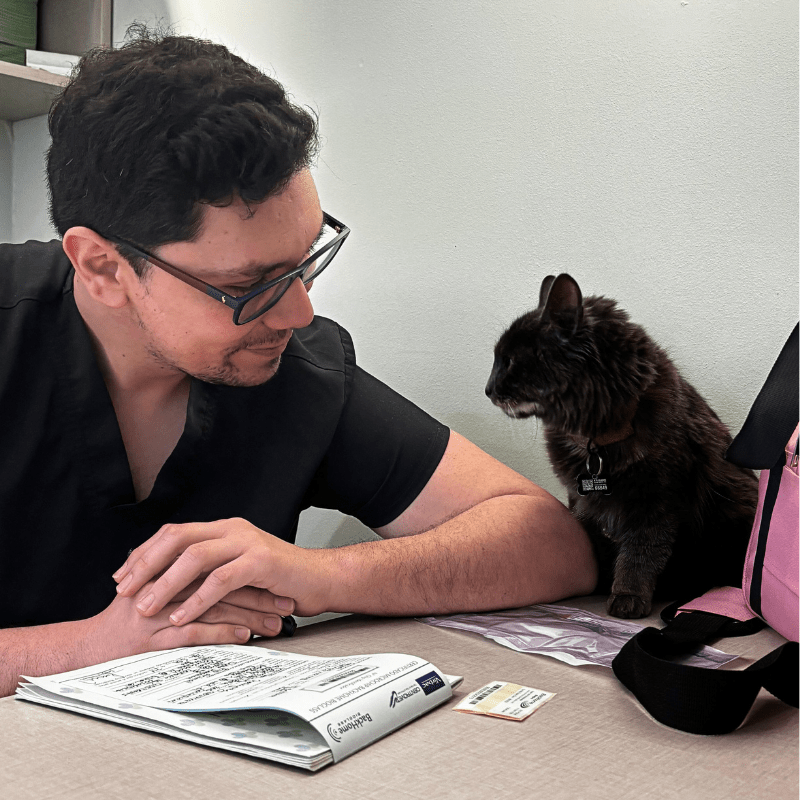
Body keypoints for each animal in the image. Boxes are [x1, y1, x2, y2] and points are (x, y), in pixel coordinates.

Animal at [485, 273, 758, 618]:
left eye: (509, 360)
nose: (487, 389)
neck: (594, 442)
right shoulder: (583, 503)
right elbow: (600, 548)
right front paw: (598, 583)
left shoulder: (655, 503)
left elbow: (639, 555)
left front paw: (627, 596)